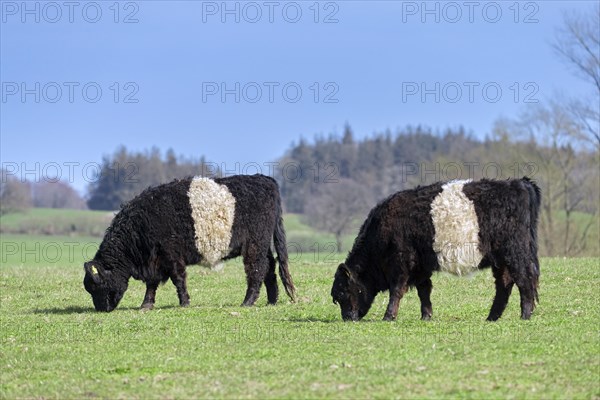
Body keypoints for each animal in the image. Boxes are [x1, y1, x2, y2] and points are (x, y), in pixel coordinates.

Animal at [84, 173, 296, 310]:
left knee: (257, 269)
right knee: (270, 266)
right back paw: (271, 300)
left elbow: (178, 279)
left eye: (96, 286)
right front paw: (146, 305)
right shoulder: (154, 260)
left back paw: (248, 302)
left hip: (254, 244)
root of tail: (265, 179)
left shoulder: (171, 255)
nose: (101, 309)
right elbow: (152, 284)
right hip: (262, 244)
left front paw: (184, 302)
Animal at [330, 178, 540, 322]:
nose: (348, 318)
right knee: (504, 284)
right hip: (500, 259)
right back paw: (492, 317)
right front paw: (426, 316)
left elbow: (396, 290)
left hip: (515, 252)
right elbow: (424, 290)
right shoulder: (420, 266)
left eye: (342, 292)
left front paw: (389, 316)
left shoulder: (400, 262)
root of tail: (519, 183)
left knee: (524, 280)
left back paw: (525, 315)